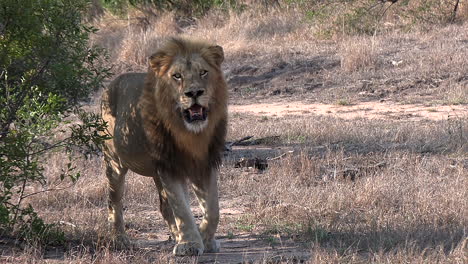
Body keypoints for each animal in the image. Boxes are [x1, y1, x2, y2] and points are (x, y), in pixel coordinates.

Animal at [100, 37, 229, 256]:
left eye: (203, 72)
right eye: (177, 76)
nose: (194, 92)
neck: (191, 134)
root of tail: (110, 85)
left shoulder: (204, 164)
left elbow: (213, 209)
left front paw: (205, 239)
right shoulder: (169, 166)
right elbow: (182, 209)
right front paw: (190, 244)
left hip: (156, 172)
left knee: (164, 206)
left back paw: (176, 236)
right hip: (114, 162)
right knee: (114, 200)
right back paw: (120, 239)